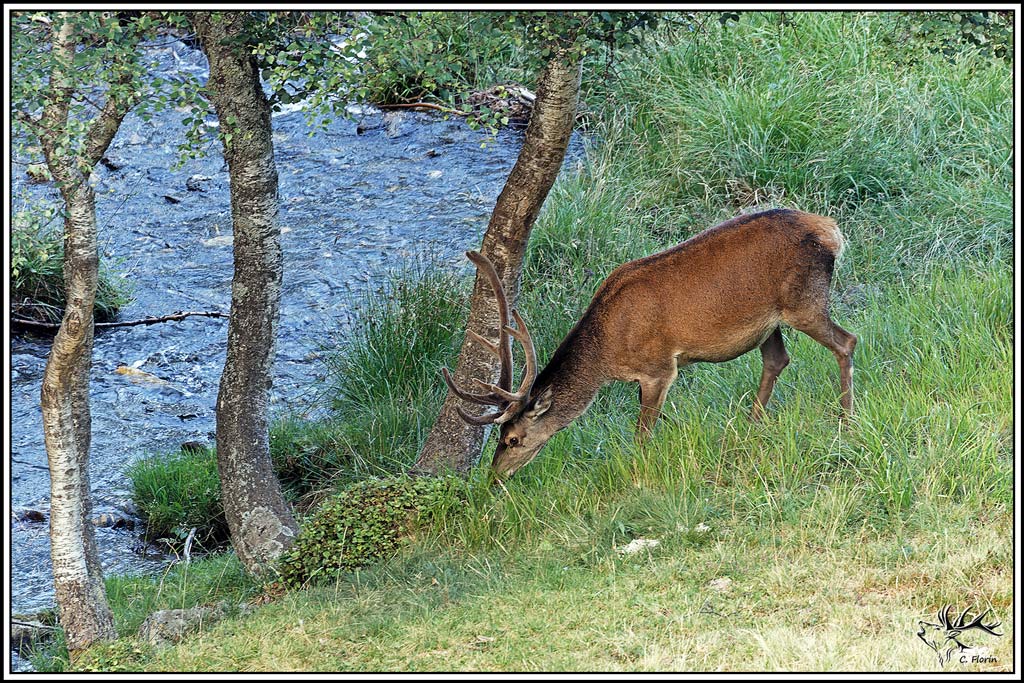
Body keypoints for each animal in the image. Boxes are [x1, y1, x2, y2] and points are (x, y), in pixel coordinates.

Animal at [443, 208, 857, 480]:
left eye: (512, 439)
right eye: (499, 438)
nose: (494, 477)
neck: (607, 355)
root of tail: (832, 232)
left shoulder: (659, 367)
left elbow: (642, 434)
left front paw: (638, 472)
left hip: (804, 302)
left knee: (847, 341)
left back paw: (846, 421)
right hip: (769, 321)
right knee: (777, 359)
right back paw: (750, 424)